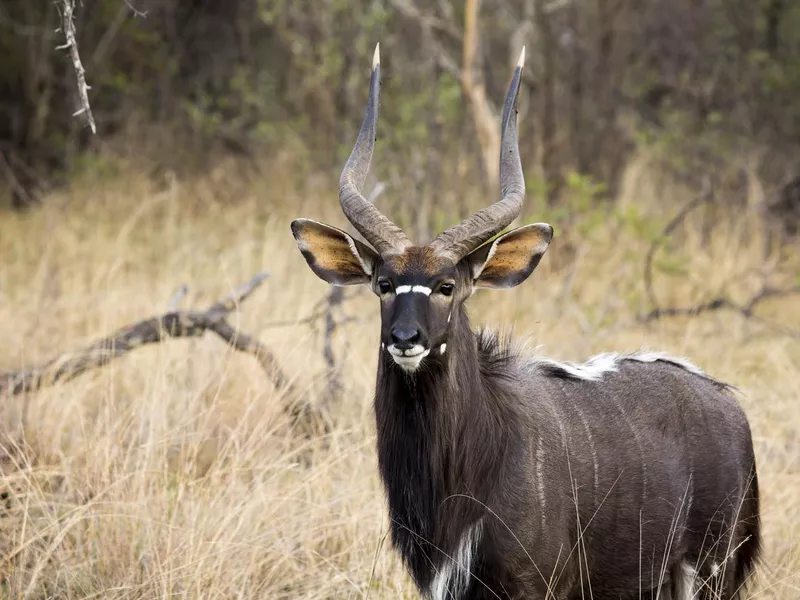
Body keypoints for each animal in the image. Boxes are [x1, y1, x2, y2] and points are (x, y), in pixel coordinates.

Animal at [290, 44, 760, 596]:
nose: (406, 338)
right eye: (383, 284)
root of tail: (731, 408)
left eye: (448, 286)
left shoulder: (532, 583)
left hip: (708, 570)